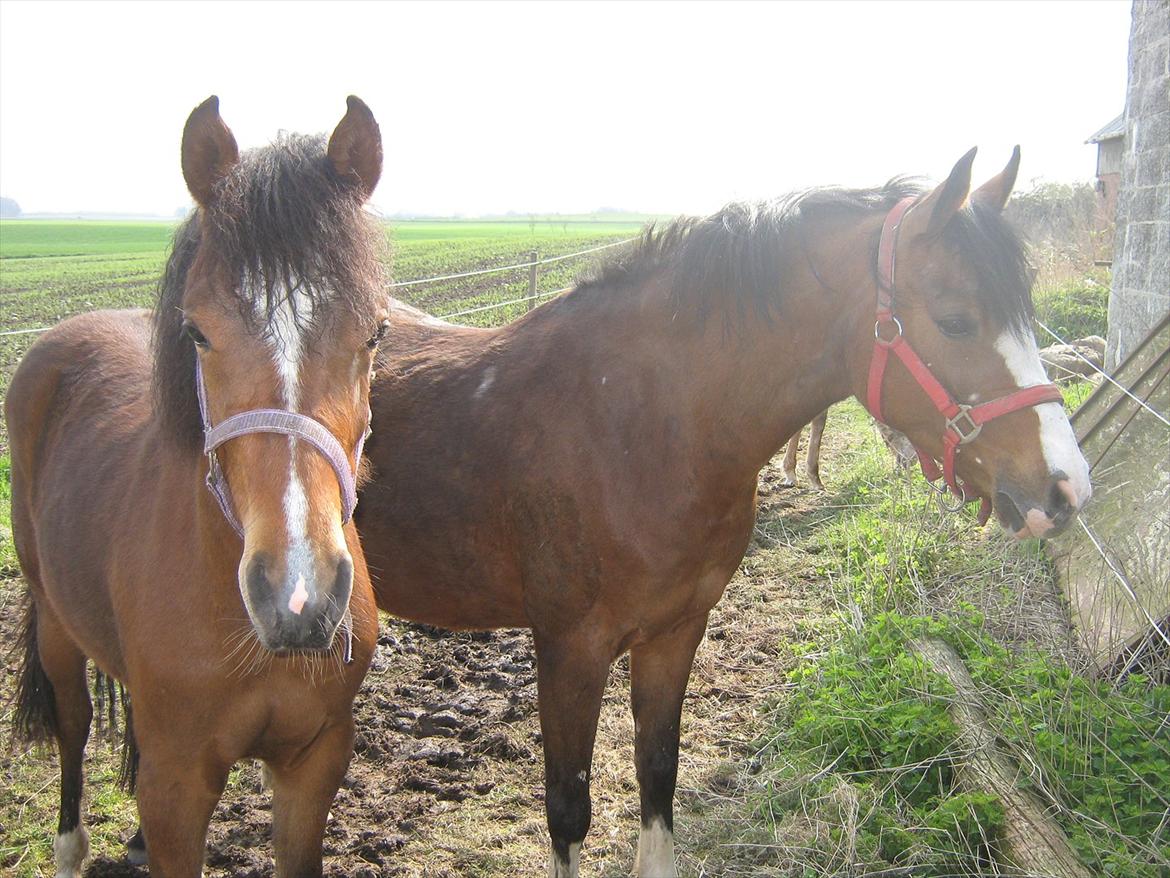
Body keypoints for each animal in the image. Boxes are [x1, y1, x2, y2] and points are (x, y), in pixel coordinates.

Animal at [6, 95, 386, 878]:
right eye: (198, 333)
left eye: (375, 334)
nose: (298, 598)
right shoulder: (178, 786)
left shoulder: (313, 762)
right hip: (56, 622)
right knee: (72, 726)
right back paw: (70, 846)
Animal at [358, 148, 1095, 875]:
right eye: (955, 320)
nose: (1065, 490)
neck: (632, 423)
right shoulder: (569, 648)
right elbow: (568, 812)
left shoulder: (675, 631)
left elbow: (658, 773)